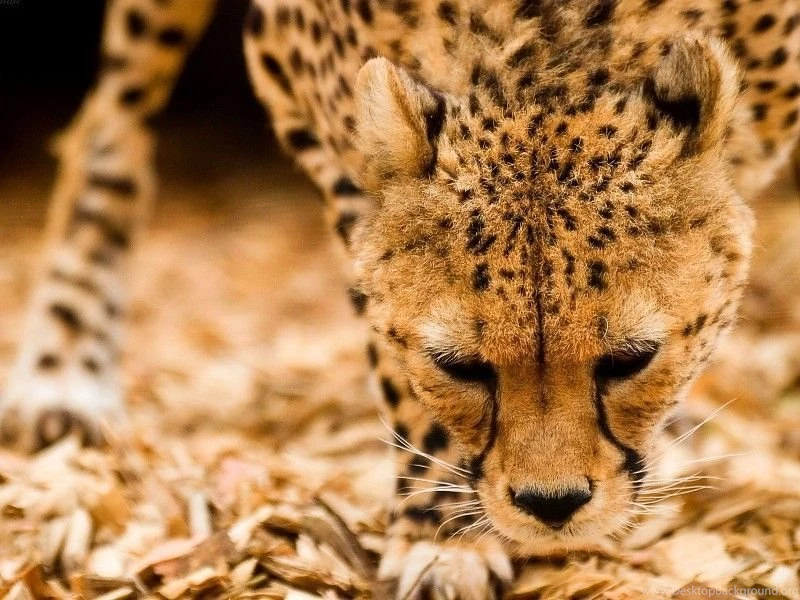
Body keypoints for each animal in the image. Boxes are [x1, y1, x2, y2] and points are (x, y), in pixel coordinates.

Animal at [2, 0, 800, 597]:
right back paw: (63, 372)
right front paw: (443, 532)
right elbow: (392, 352)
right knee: (111, 130)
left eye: (632, 360)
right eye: (460, 366)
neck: (551, 51)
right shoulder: (299, 93)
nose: (552, 507)